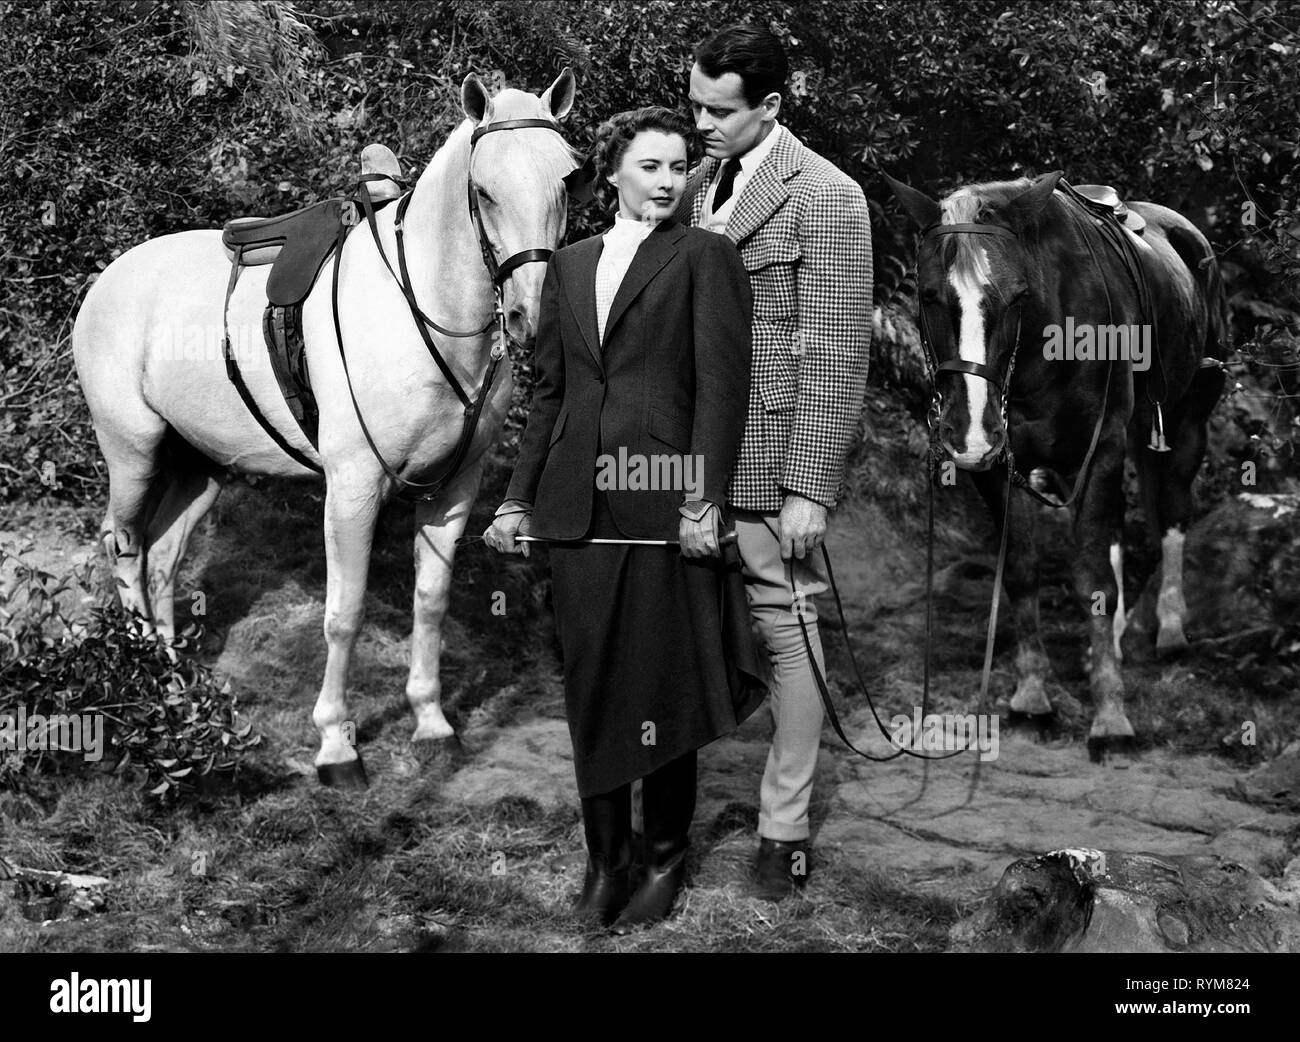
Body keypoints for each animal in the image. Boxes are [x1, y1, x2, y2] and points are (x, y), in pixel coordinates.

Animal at [72, 68, 579, 784]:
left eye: (568, 181)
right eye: (483, 191)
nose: (533, 320)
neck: (422, 307)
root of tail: (109, 279)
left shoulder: (454, 489)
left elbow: (431, 600)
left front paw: (431, 722)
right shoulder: (353, 490)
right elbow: (344, 614)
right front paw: (337, 745)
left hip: (199, 468)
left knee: (163, 556)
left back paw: (178, 686)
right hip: (133, 451)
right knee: (123, 547)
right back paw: (150, 686)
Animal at [883, 172, 1227, 753]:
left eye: (1018, 296)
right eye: (929, 297)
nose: (967, 430)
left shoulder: (1102, 446)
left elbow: (1092, 577)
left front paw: (1111, 717)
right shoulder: (999, 466)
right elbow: (1022, 571)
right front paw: (1031, 696)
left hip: (1185, 418)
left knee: (1173, 507)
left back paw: (1170, 628)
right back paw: (1110, 641)